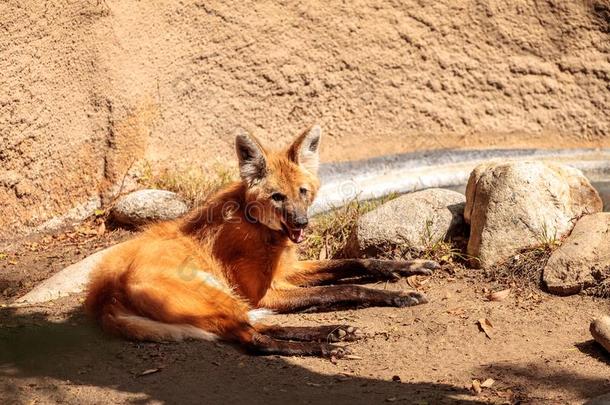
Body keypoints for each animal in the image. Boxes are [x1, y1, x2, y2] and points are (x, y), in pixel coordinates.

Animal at [86, 125, 436, 356]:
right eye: (278, 197)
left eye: (302, 192)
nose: (301, 223)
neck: (258, 227)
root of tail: (105, 295)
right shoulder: (266, 293)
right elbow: (344, 288)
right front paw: (399, 295)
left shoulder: (286, 273)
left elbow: (356, 262)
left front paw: (407, 267)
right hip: (219, 295)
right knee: (253, 338)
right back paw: (325, 344)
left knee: (256, 326)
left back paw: (336, 330)